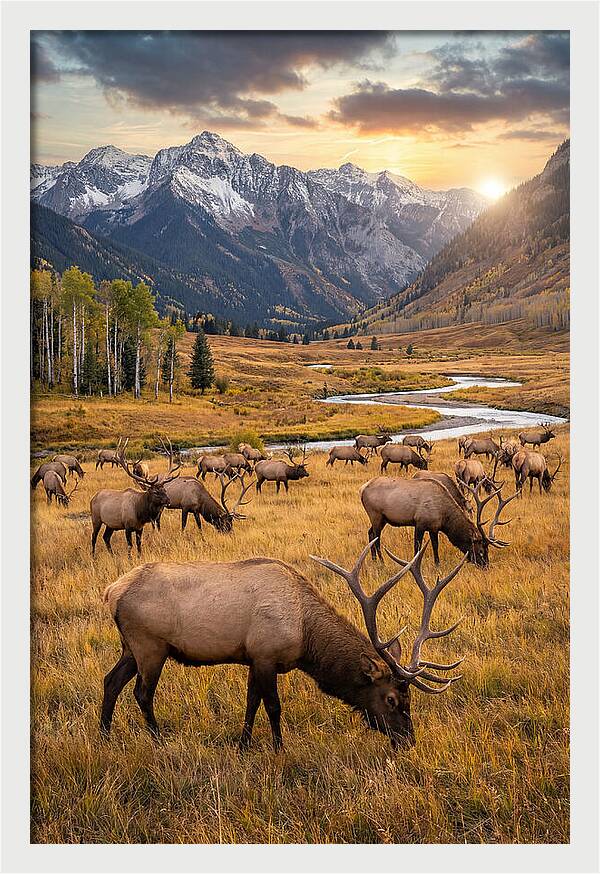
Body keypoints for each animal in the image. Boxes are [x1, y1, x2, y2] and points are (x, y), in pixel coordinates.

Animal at [100, 538, 465, 751]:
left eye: (409, 699)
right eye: (391, 699)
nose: (408, 740)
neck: (306, 637)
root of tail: (111, 592)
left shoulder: (252, 657)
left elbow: (251, 702)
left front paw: (244, 745)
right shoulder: (265, 654)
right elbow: (273, 706)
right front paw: (279, 747)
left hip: (129, 647)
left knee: (110, 681)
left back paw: (104, 734)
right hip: (150, 646)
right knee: (142, 693)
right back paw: (157, 738)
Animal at [360, 475, 517, 567]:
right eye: (482, 549)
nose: (486, 566)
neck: (444, 517)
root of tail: (362, 489)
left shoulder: (434, 527)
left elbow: (435, 545)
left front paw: (437, 564)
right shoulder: (420, 523)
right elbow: (417, 547)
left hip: (381, 519)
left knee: (370, 533)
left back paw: (374, 560)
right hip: (376, 515)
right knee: (376, 537)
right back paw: (381, 562)